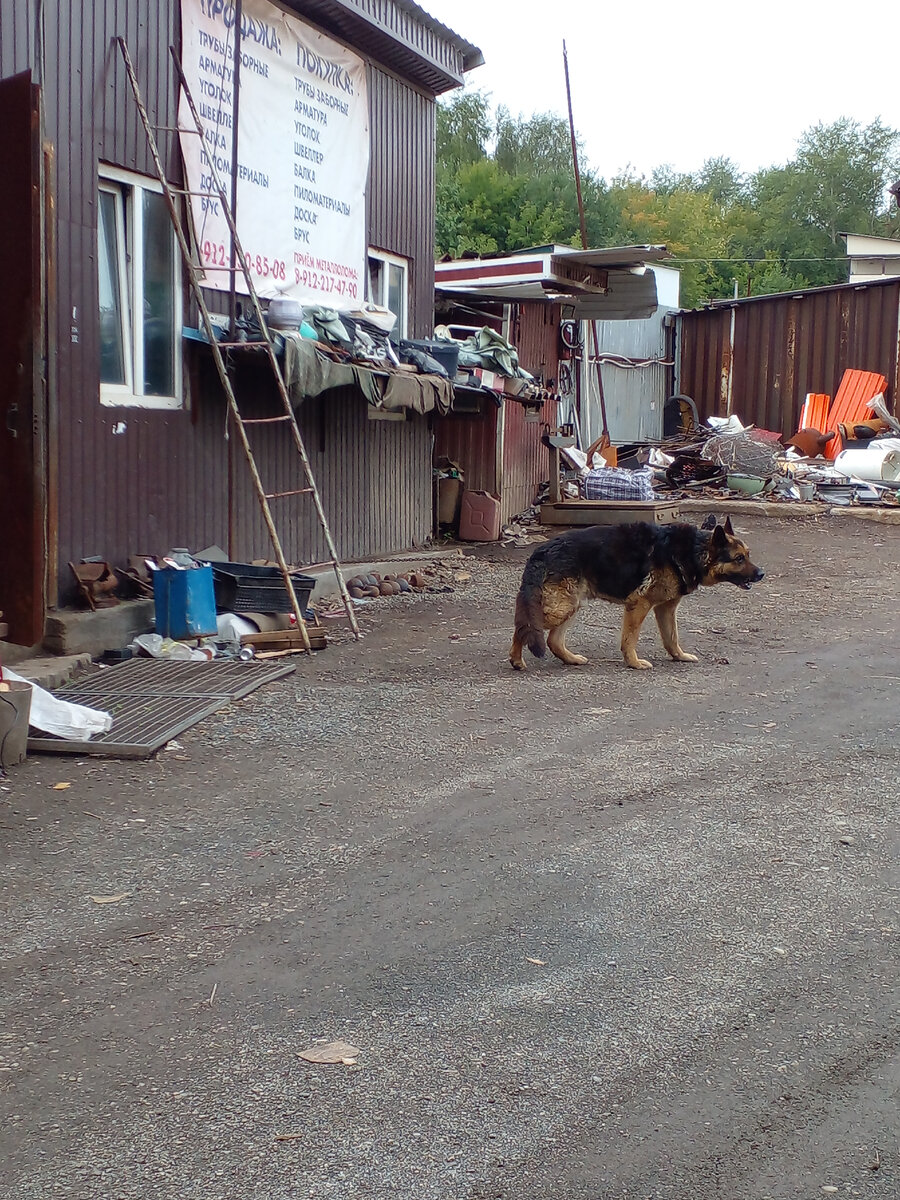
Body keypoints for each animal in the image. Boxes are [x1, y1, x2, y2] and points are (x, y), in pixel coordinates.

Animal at [511, 518, 763, 672]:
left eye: (748, 555)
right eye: (738, 558)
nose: (761, 573)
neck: (693, 550)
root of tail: (541, 550)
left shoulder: (665, 608)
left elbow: (671, 638)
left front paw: (679, 656)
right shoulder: (639, 604)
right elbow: (630, 639)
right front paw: (633, 663)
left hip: (572, 604)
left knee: (552, 640)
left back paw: (570, 659)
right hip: (560, 607)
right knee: (525, 627)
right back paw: (516, 659)